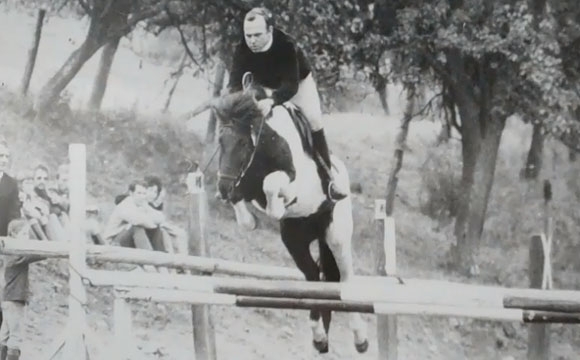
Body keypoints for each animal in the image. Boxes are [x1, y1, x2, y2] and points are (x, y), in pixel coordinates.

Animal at [184, 76, 370, 354]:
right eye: (220, 142)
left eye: (242, 143)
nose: (222, 188)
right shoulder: (244, 182)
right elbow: (243, 199)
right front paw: (250, 220)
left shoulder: (291, 180)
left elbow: (273, 185)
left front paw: (277, 208)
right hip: (295, 241)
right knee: (315, 278)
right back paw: (319, 336)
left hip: (336, 236)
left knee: (345, 281)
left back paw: (360, 339)